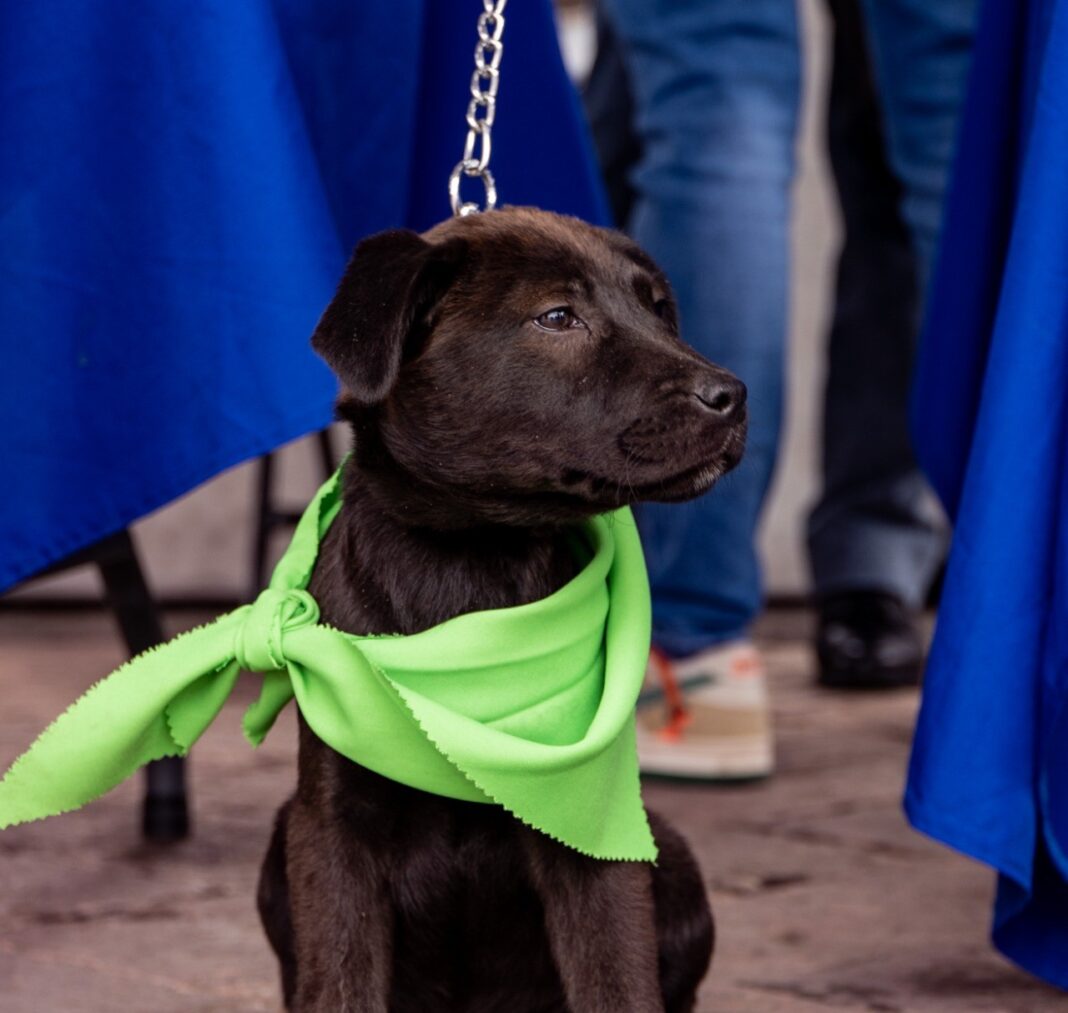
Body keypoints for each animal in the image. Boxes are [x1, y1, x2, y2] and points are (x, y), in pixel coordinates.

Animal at [256, 207, 743, 1011]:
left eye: (656, 308)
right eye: (558, 317)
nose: (733, 395)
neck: (475, 566)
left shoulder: (592, 827)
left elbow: (617, 980)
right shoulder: (332, 831)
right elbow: (340, 980)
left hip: (672, 857)